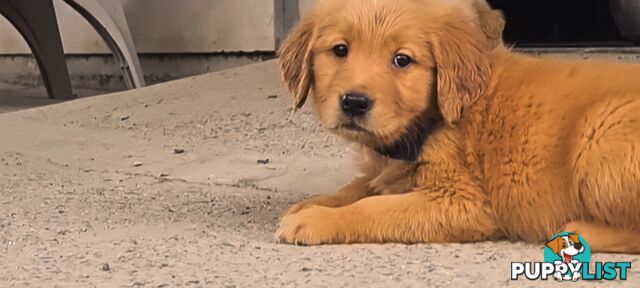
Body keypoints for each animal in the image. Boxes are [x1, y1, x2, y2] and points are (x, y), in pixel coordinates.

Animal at [276, 0, 640, 252]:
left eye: (402, 60)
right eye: (340, 50)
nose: (354, 102)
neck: (434, 121)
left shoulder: (463, 202)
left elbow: (374, 207)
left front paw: (316, 219)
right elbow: (358, 187)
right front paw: (316, 203)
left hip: (600, 139)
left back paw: (581, 230)